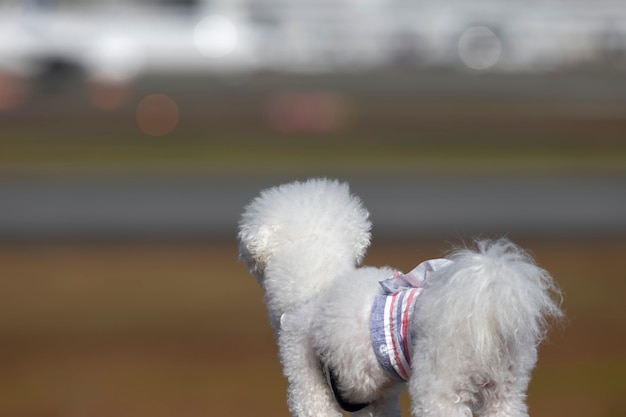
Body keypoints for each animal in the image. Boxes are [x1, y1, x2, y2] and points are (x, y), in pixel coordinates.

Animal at [236, 178, 560, 416]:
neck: (317, 282)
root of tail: (484, 308)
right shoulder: (379, 399)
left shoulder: (309, 385)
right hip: (505, 390)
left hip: (440, 387)